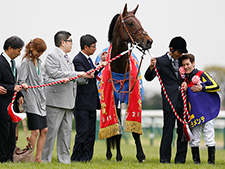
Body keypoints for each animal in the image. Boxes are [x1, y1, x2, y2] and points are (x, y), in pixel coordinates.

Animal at [104, 3, 153, 162]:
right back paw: (109, 154)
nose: (149, 41)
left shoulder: (133, 97)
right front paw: (118, 156)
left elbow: (135, 131)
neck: (119, 67)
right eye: (131, 23)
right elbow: (117, 129)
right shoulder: (114, 100)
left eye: (139, 21)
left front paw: (141, 155)